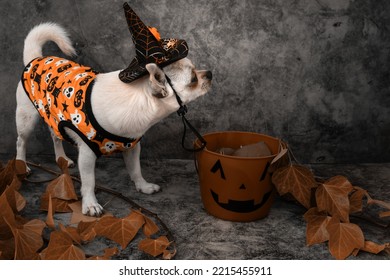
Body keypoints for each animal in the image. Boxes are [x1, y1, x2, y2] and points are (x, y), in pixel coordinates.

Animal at [15, 23, 212, 215]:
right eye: (193, 79)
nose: (209, 73)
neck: (138, 98)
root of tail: (36, 58)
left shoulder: (132, 147)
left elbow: (135, 169)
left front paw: (143, 186)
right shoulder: (87, 154)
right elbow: (89, 181)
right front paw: (90, 204)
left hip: (53, 117)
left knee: (55, 136)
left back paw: (61, 158)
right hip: (27, 119)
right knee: (21, 142)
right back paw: (22, 165)